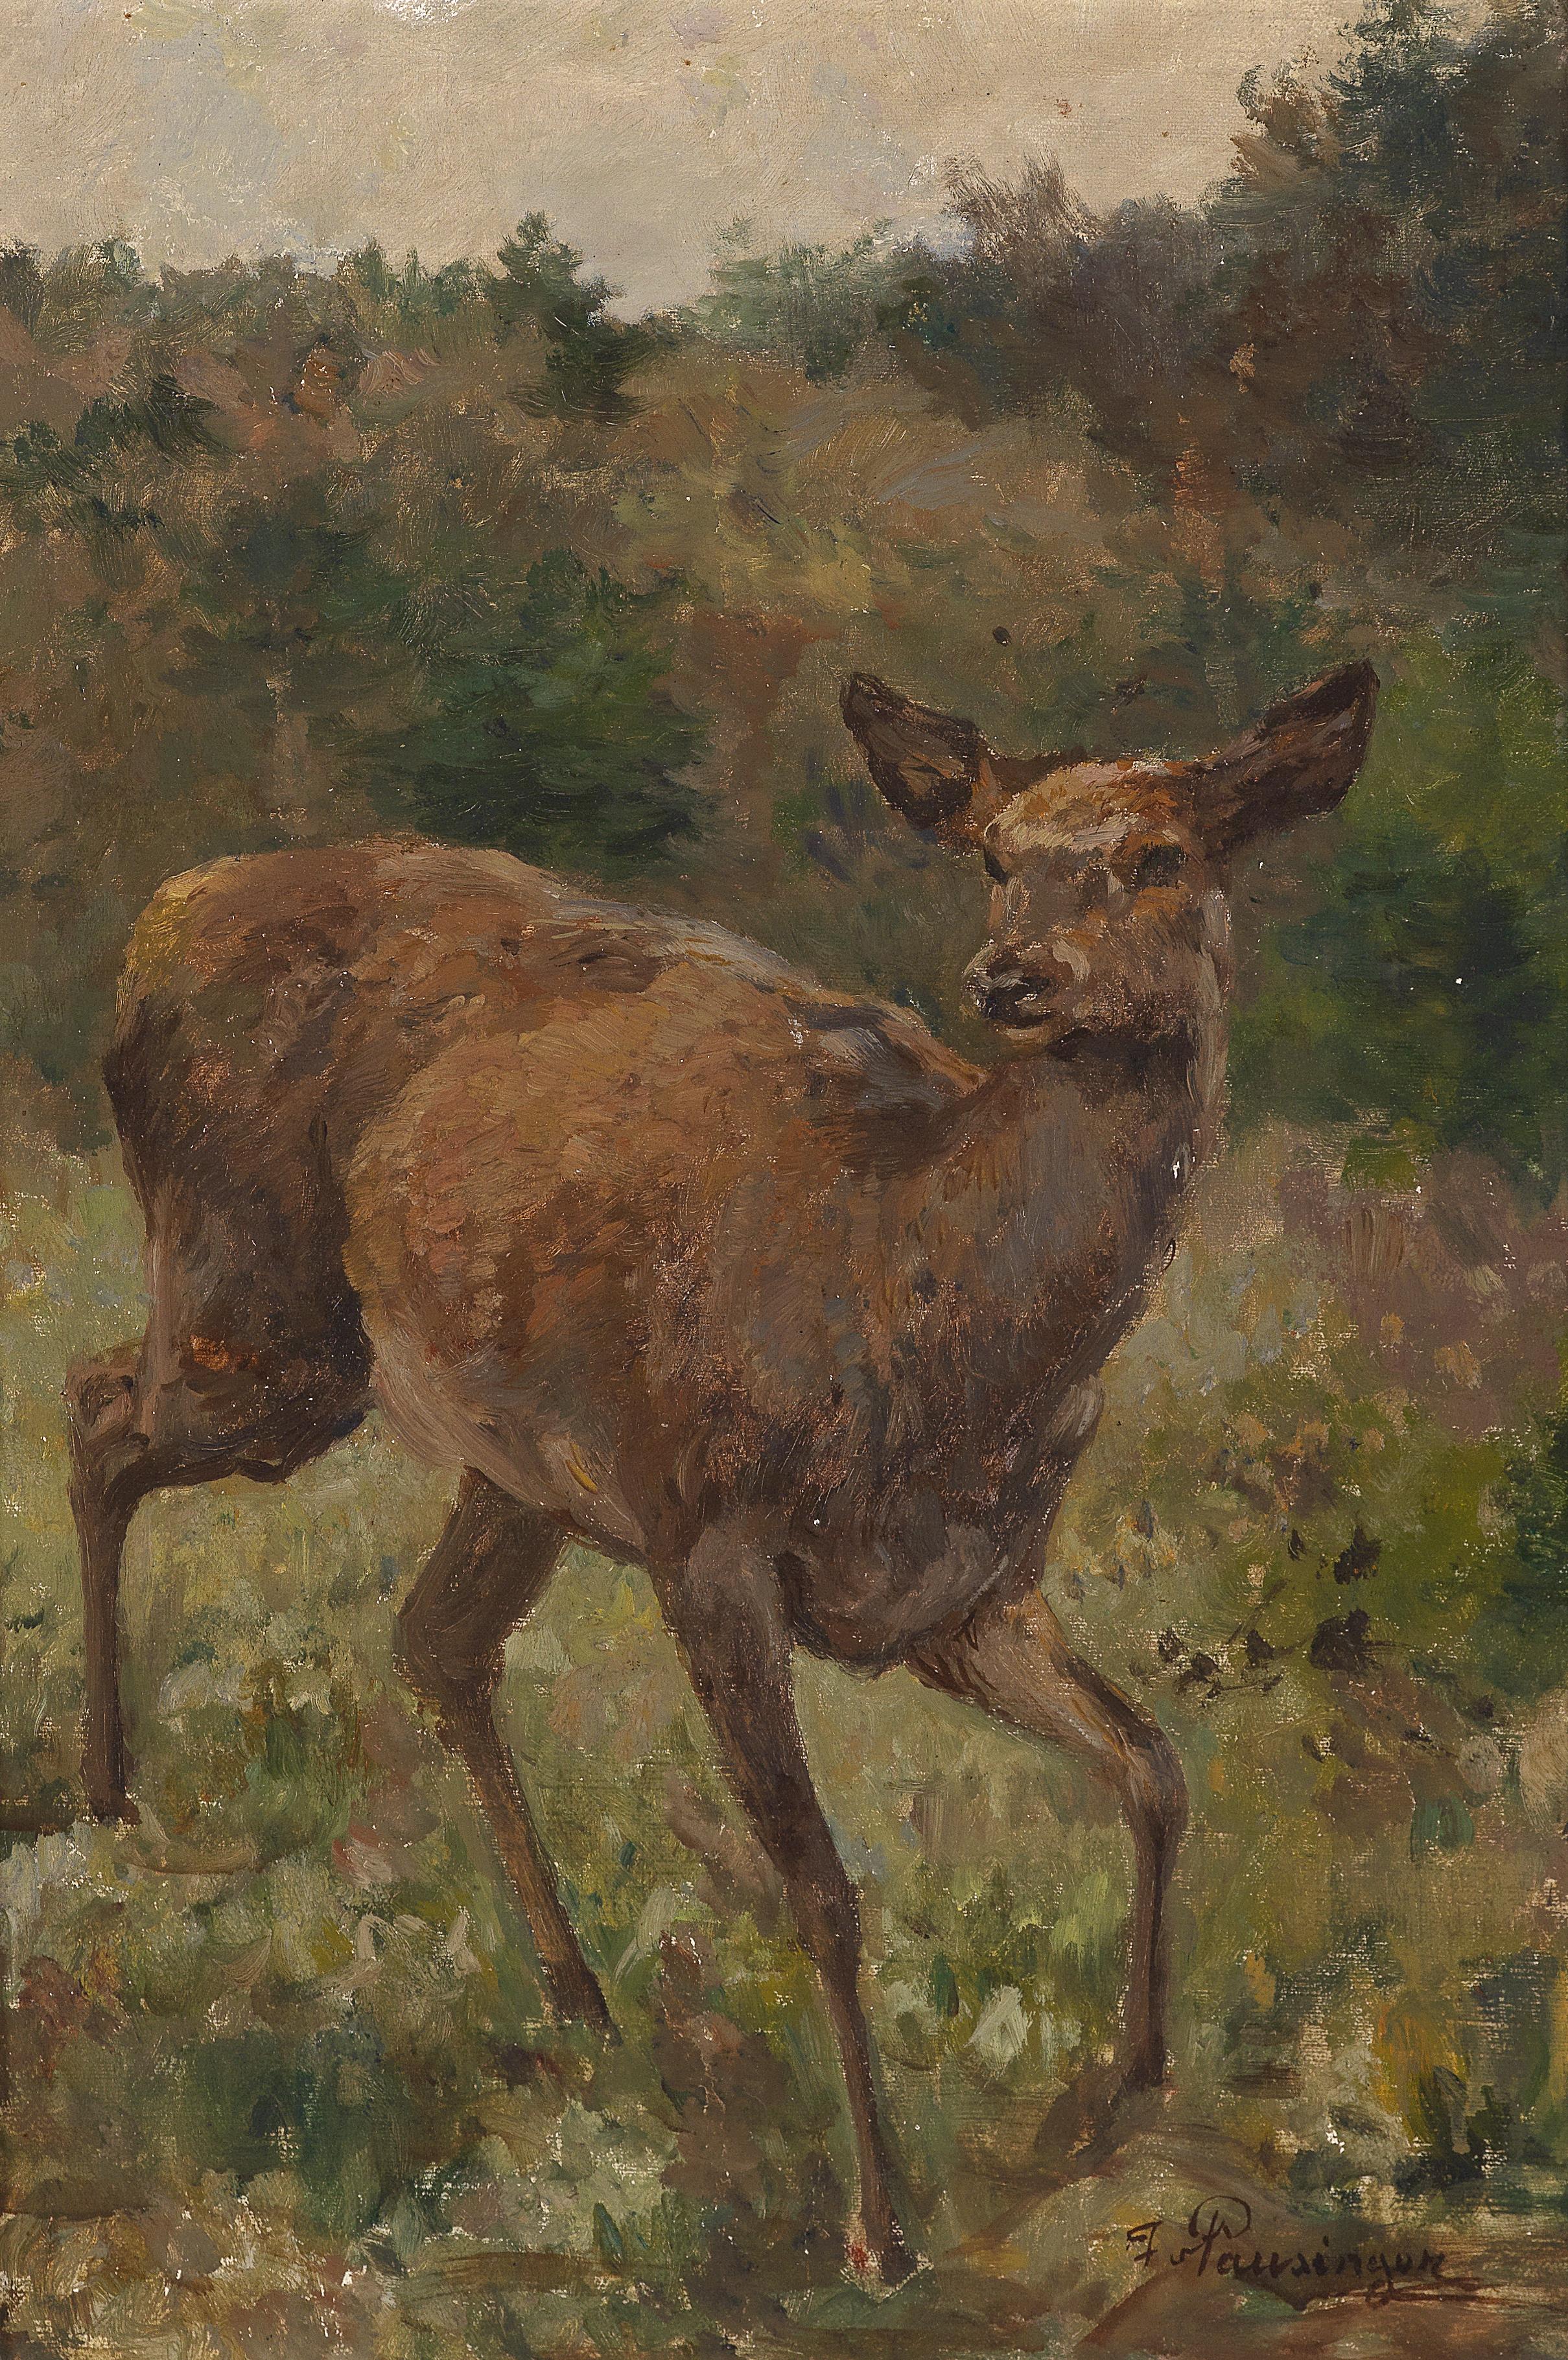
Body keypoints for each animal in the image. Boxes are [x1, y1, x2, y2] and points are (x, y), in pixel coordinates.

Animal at [65, 659, 1376, 2282]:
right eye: (995, 856)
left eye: (1160, 854)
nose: (1012, 976)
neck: (938, 1313)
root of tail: (159, 912)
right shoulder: (711, 1534)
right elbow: (820, 1885)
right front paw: (880, 2225)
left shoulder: (970, 1592)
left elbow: (1151, 1764)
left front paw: (1132, 2083)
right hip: (265, 1317)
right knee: (96, 1409)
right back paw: (108, 1796)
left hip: (514, 1454)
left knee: (431, 1637)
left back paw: (575, 1995)